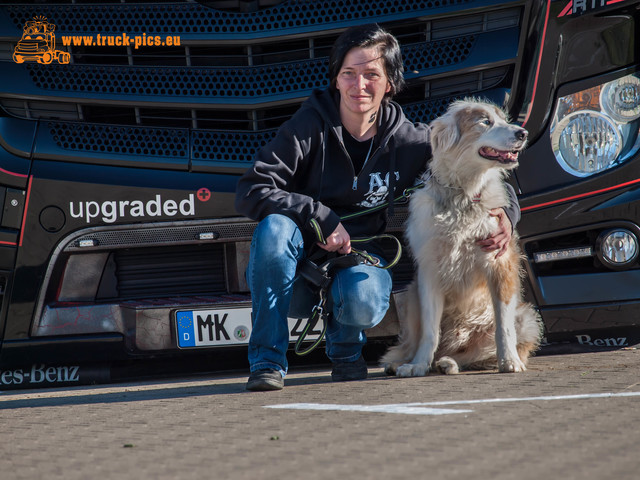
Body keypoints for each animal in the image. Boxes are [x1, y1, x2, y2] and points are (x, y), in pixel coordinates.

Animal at [382, 98, 544, 376]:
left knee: (474, 354)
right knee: (417, 344)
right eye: (485, 122)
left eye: (504, 119)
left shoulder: (500, 264)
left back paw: (450, 363)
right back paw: (406, 363)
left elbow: (504, 327)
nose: (522, 133)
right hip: (412, 299)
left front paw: (510, 361)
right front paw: (418, 365)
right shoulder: (429, 273)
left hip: (526, 317)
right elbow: (429, 332)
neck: (463, 194)